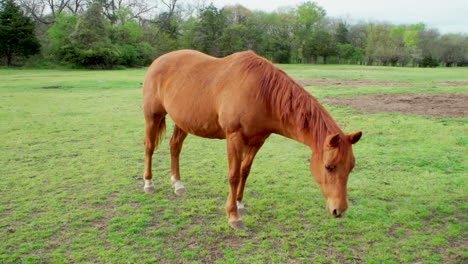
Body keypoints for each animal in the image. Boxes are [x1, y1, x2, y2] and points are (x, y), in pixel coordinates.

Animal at [143, 50, 362, 230]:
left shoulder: (257, 141)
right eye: (329, 167)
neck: (262, 92)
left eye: (351, 167)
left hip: (183, 122)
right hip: (153, 116)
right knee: (149, 147)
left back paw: (178, 185)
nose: (339, 210)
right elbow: (233, 175)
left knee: (175, 147)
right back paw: (149, 184)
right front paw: (233, 216)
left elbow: (245, 172)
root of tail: (158, 61)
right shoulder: (234, 137)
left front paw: (240, 204)